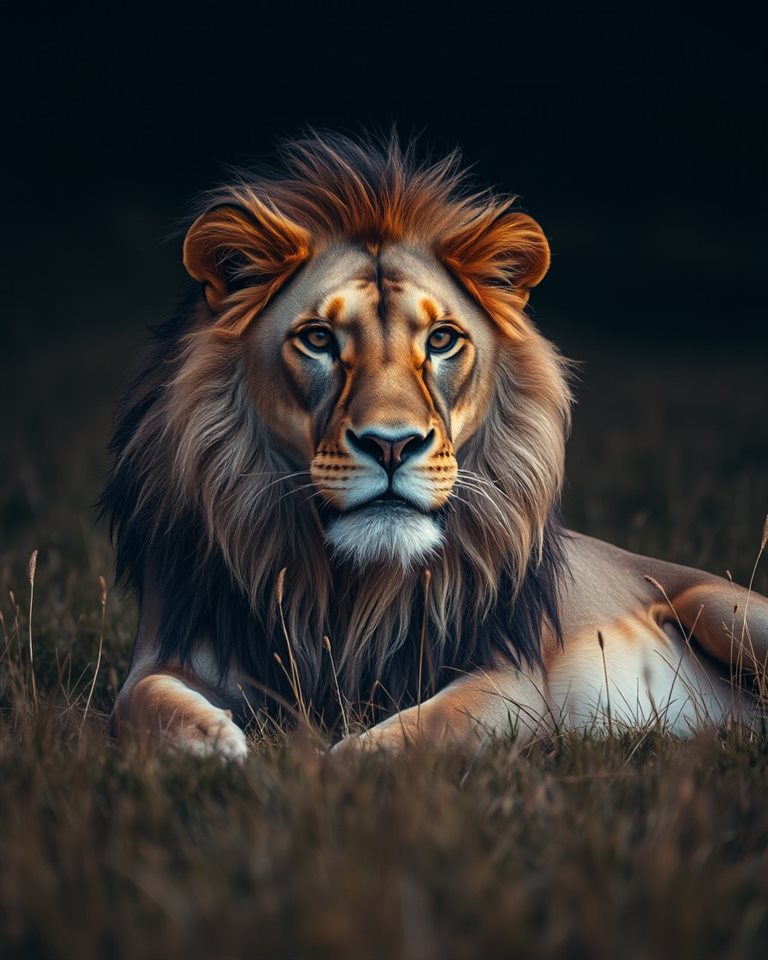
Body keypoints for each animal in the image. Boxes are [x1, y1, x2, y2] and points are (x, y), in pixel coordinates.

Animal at [102, 131, 767, 760]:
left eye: (443, 340)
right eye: (318, 339)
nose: (391, 446)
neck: (350, 588)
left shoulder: (514, 681)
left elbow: (432, 724)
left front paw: (344, 761)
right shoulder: (163, 652)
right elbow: (140, 702)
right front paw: (213, 742)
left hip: (726, 609)